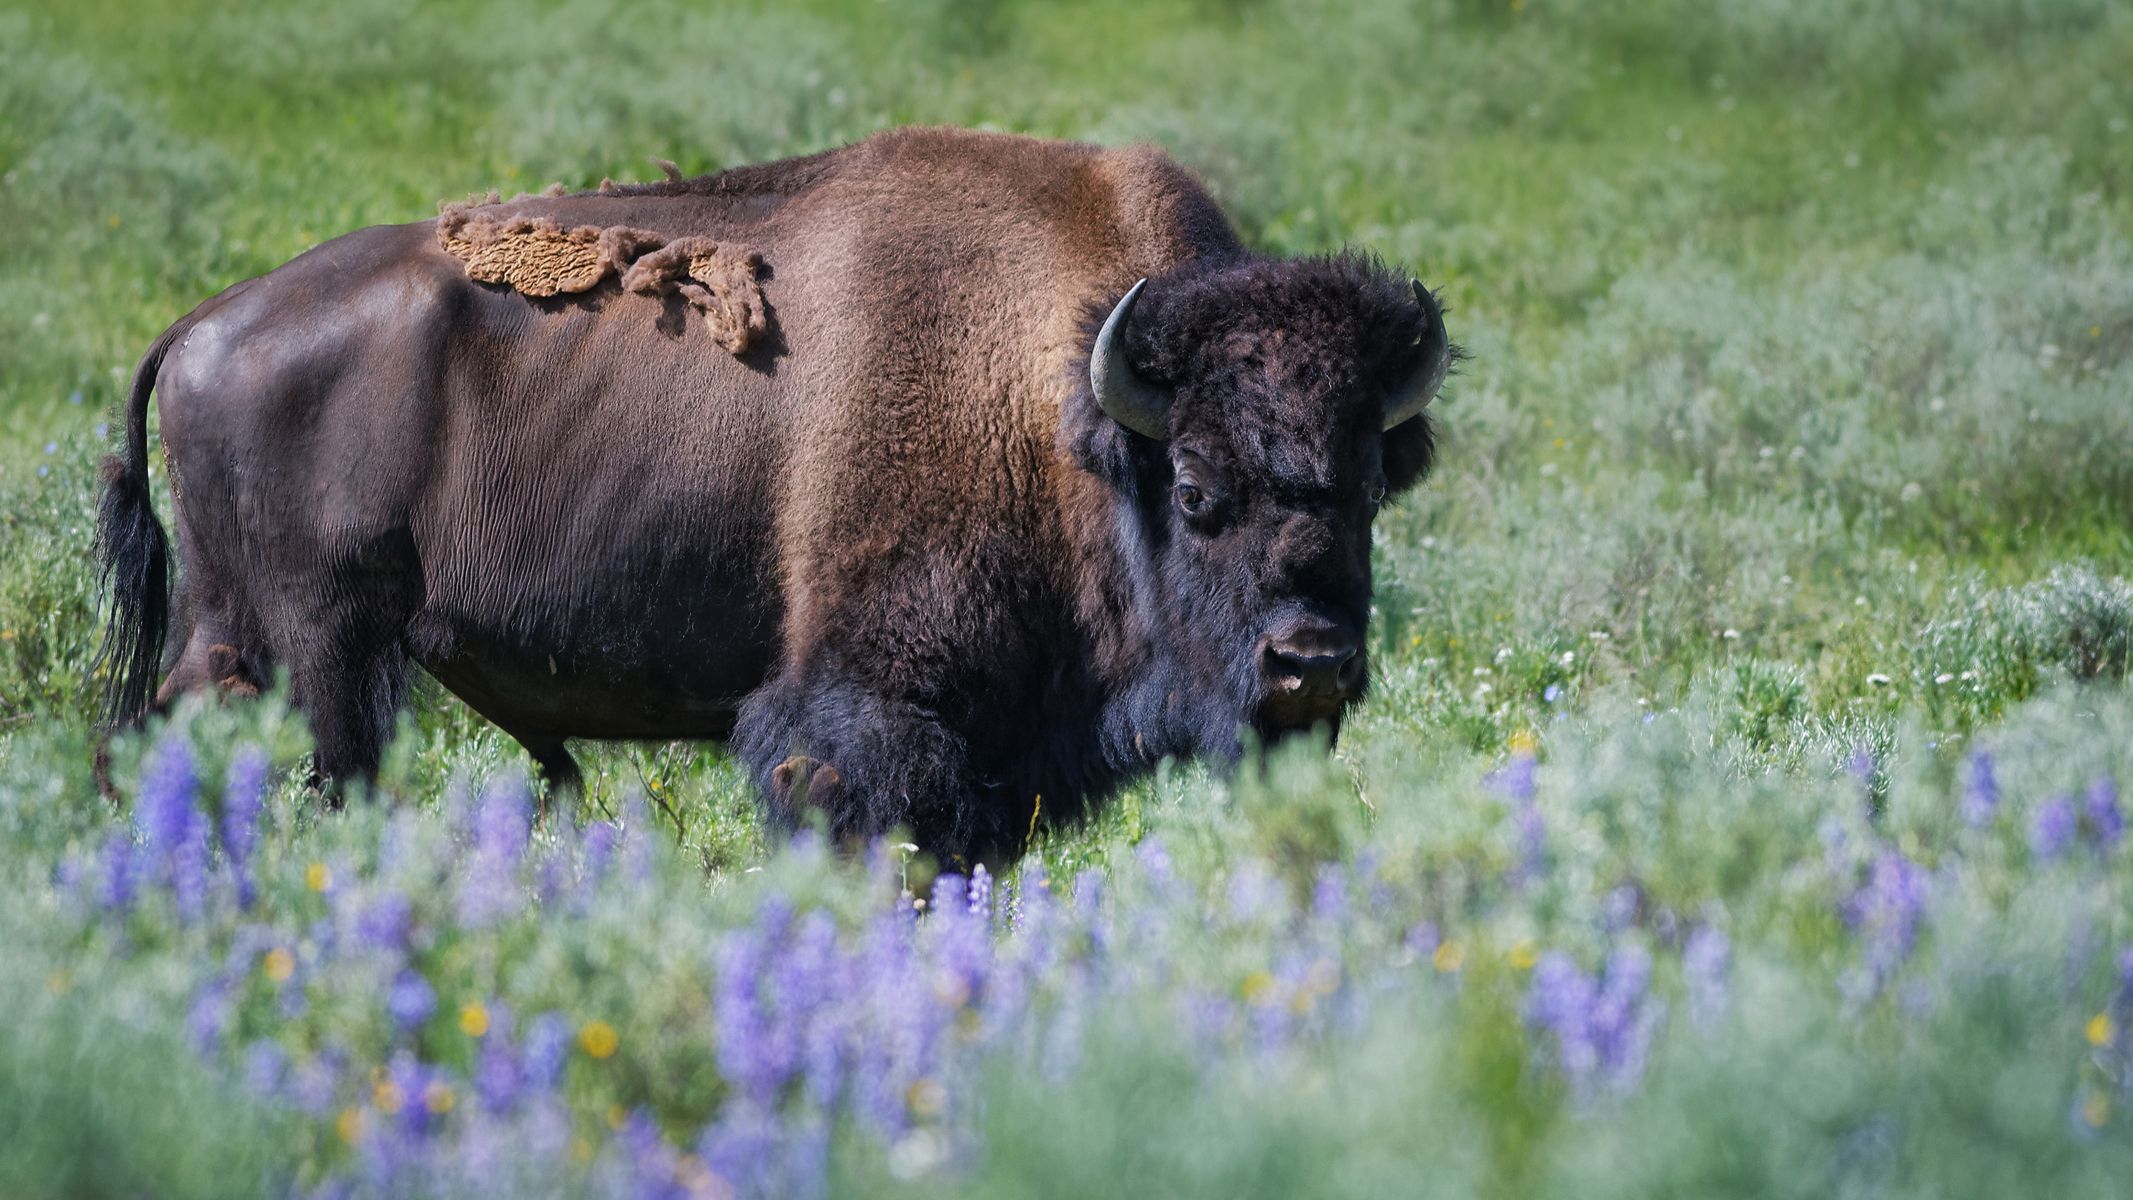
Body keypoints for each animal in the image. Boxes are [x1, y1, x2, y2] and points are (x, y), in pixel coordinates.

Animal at [95, 128, 1450, 865]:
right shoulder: (870, 715)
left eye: (1370, 486)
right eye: (1196, 485)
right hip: (313, 645)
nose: (1312, 664)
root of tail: (208, 325)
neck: (1057, 404)